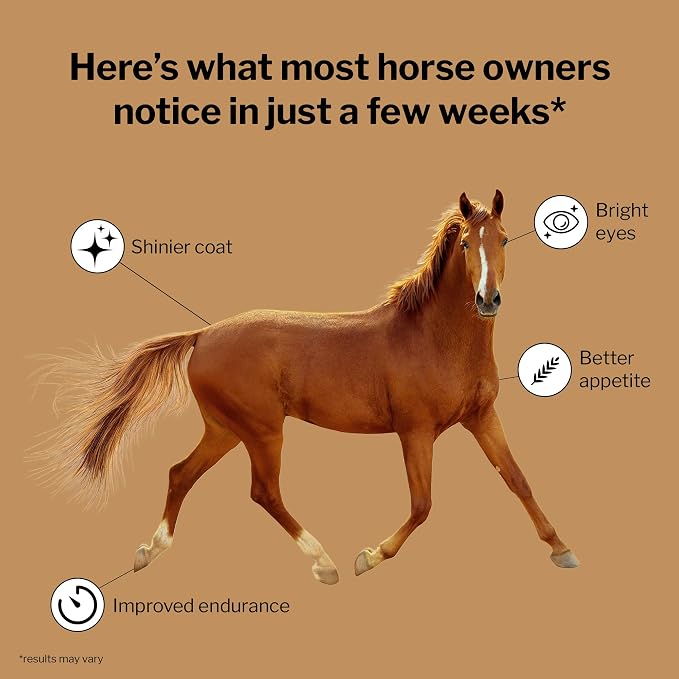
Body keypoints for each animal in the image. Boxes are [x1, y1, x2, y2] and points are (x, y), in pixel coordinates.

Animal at [37, 190, 578, 584]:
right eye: (466, 243)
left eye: (505, 239)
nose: (488, 300)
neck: (435, 338)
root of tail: (202, 336)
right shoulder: (416, 431)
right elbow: (422, 505)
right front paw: (369, 556)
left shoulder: (481, 417)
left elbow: (518, 480)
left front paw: (562, 549)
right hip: (263, 431)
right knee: (263, 492)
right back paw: (325, 563)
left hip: (226, 429)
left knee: (180, 474)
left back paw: (151, 551)